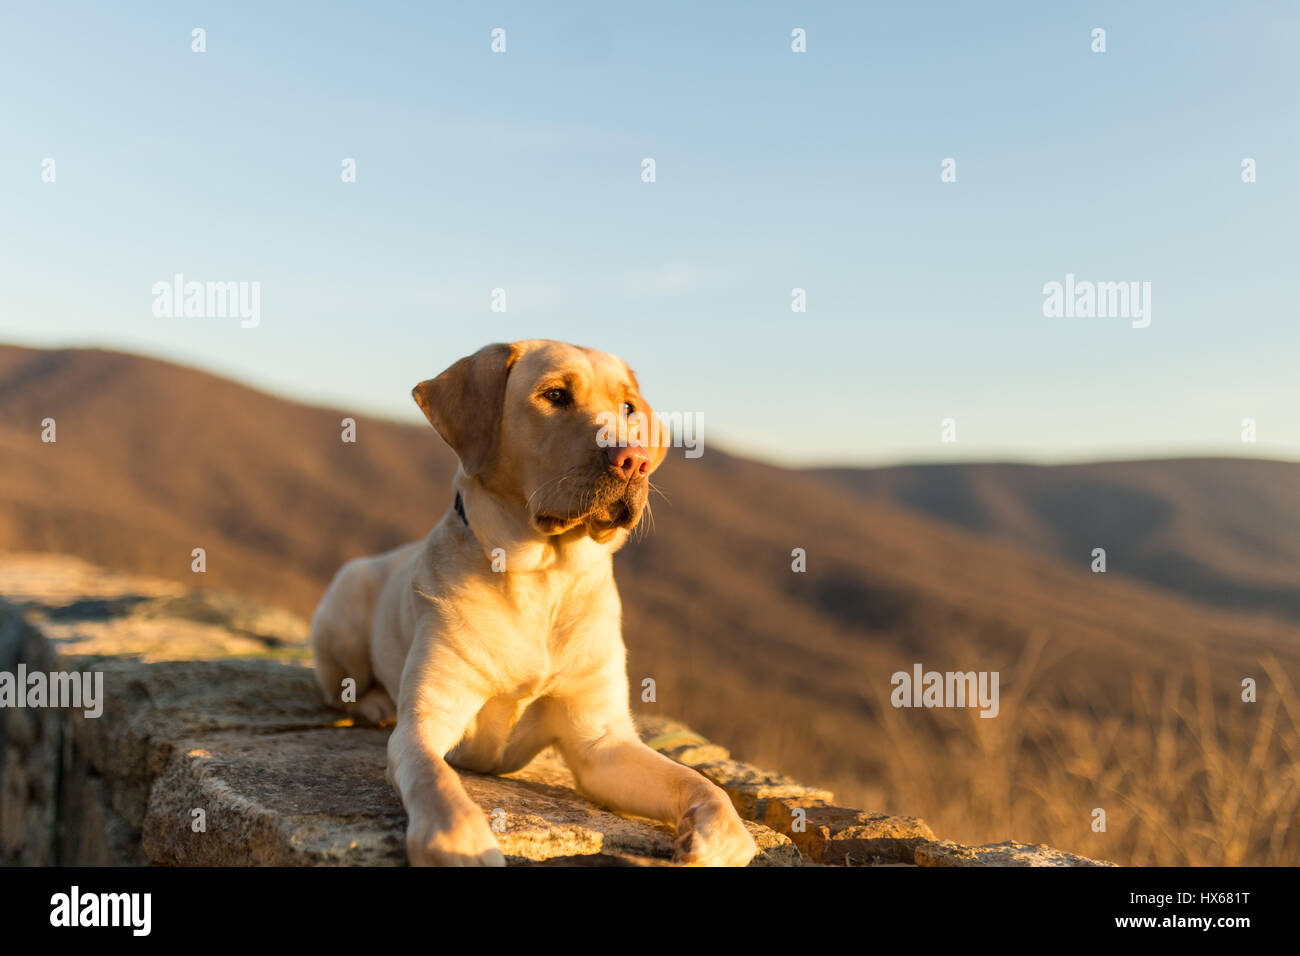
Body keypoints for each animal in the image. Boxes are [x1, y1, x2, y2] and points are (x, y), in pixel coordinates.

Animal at [310, 338, 759, 868]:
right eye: (555, 395)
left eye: (628, 408)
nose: (634, 461)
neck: (545, 578)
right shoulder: (425, 723)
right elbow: (436, 779)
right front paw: (461, 841)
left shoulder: (601, 741)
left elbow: (704, 786)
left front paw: (716, 838)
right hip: (344, 600)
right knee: (343, 688)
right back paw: (377, 701)